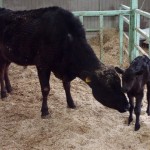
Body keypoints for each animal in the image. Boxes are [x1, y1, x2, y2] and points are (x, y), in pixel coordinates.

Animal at [0, 6, 129, 117]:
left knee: (5, 70)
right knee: (1, 73)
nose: (127, 106)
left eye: (119, 83)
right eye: (109, 87)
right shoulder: (43, 65)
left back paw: (9, 88)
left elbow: (67, 86)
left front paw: (71, 103)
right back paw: (3, 93)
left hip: (7, 56)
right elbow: (45, 89)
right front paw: (45, 111)